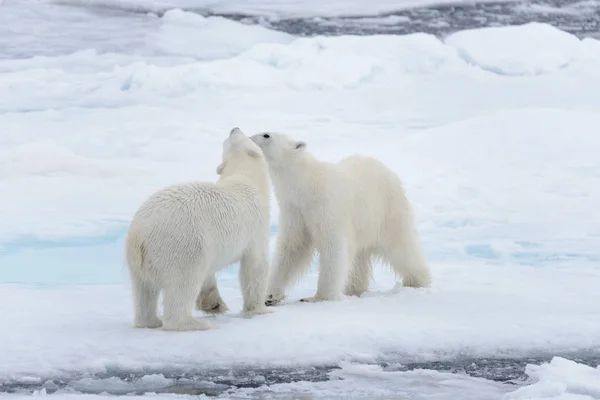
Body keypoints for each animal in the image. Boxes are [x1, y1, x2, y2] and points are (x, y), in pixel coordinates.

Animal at [126, 128, 272, 332]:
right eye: (234, 137)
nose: (234, 128)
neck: (244, 176)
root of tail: (139, 234)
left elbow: (209, 273)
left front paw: (214, 304)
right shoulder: (255, 226)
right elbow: (256, 266)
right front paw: (259, 309)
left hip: (139, 263)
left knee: (144, 290)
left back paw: (149, 321)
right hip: (182, 245)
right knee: (183, 284)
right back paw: (195, 323)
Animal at [250, 131, 432, 304]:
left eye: (266, 135)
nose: (249, 138)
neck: (307, 186)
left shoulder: (327, 206)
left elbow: (333, 246)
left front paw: (319, 297)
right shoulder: (295, 210)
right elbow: (294, 246)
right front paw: (270, 296)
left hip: (387, 211)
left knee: (401, 247)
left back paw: (417, 282)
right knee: (360, 259)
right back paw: (353, 289)